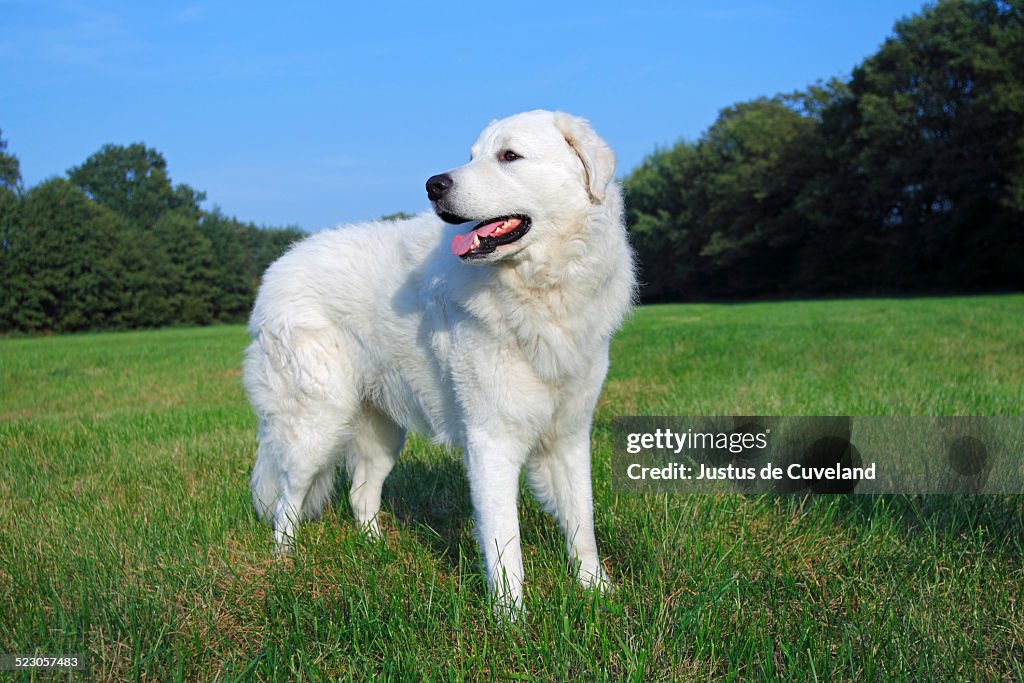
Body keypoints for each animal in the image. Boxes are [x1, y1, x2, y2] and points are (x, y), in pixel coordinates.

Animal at [243, 111, 634, 614]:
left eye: (509, 156)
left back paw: (378, 552)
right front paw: (511, 618)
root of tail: (278, 268)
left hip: (382, 433)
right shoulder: (491, 440)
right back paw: (284, 564)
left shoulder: (568, 433)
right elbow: (505, 541)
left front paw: (596, 590)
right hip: (317, 424)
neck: (542, 291)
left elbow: (581, 521)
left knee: (360, 495)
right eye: (471, 155)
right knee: (287, 500)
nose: (433, 184)